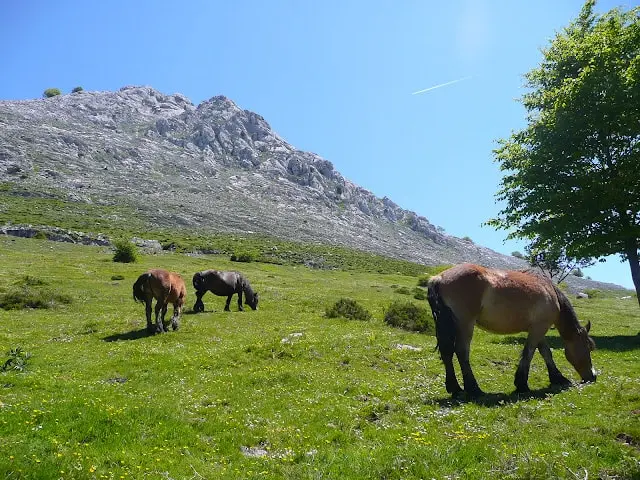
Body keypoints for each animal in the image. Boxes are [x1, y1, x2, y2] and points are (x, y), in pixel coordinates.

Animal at [427, 263, 596, 397]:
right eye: (588, 347)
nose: (593, 376)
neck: (549, 290)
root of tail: (439, 278)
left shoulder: (537, 329)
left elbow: (545, 352)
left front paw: (557, 378)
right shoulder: (539, 328)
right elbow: (529, 353)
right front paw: (522, 384)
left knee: (447, 352)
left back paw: (455, 388)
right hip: (465, 324)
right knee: (462, 352)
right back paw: (474, 389)